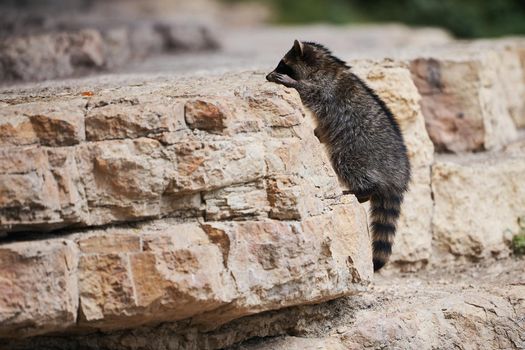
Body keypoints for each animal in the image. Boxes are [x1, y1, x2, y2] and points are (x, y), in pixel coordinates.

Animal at [266, 41, 410, 270]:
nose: (267, 75)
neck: (325, 65)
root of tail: (399, 174)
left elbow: (309, 92)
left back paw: (363, 190)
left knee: (345, 163)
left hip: (358, 151)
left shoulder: (326, 90)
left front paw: (292, 83)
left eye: (283, 64)